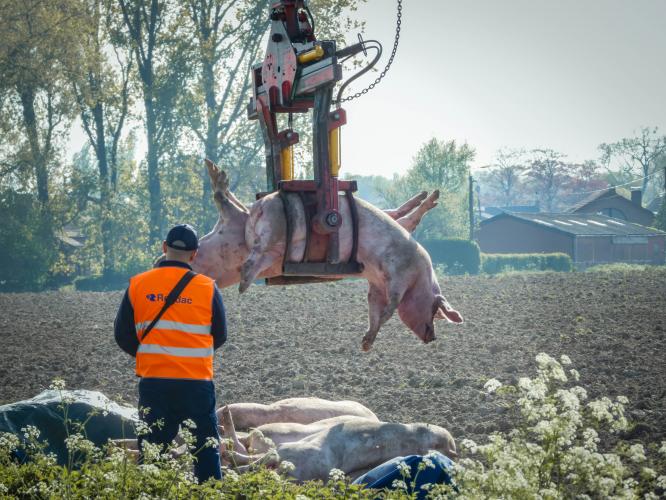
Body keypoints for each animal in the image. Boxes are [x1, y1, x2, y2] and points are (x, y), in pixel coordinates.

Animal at [197, 161, 462, 352]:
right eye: (436, 310)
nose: (432, 338)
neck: (421, 277)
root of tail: (259, 207)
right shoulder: (400, 274)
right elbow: (391, 308)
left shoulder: (377, 283)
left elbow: (374, 309)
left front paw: (365, 344)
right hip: (274, 229)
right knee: (236, 221)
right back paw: (243, 282)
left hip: (248, 234)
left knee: (229, 207)